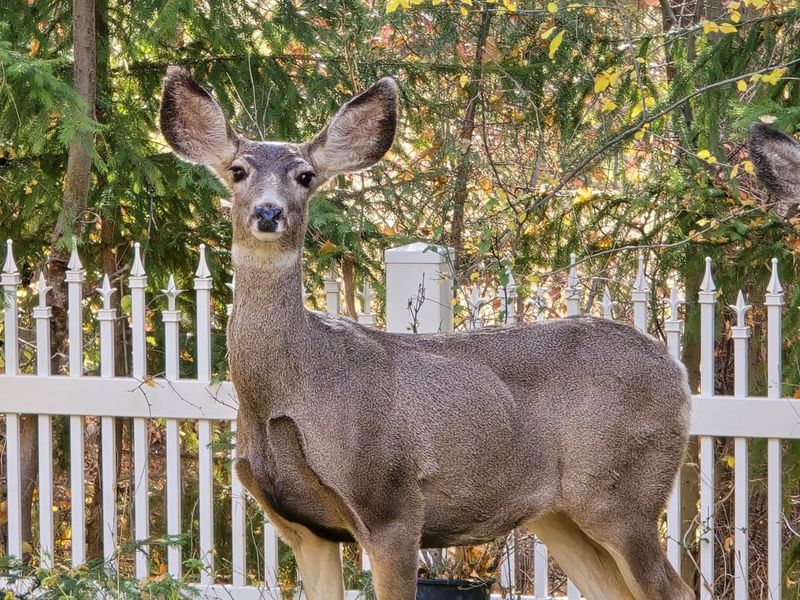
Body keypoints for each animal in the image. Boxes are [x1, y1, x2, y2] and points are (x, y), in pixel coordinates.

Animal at [159, 66, 695, 600]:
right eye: (238, 171)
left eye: (305, 176)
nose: (269, 212)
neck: (287, 389)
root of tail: (679, 373)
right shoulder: (303, 528)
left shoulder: (391, 503)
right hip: (559, 513)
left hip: (623, 491)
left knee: (677, 588)